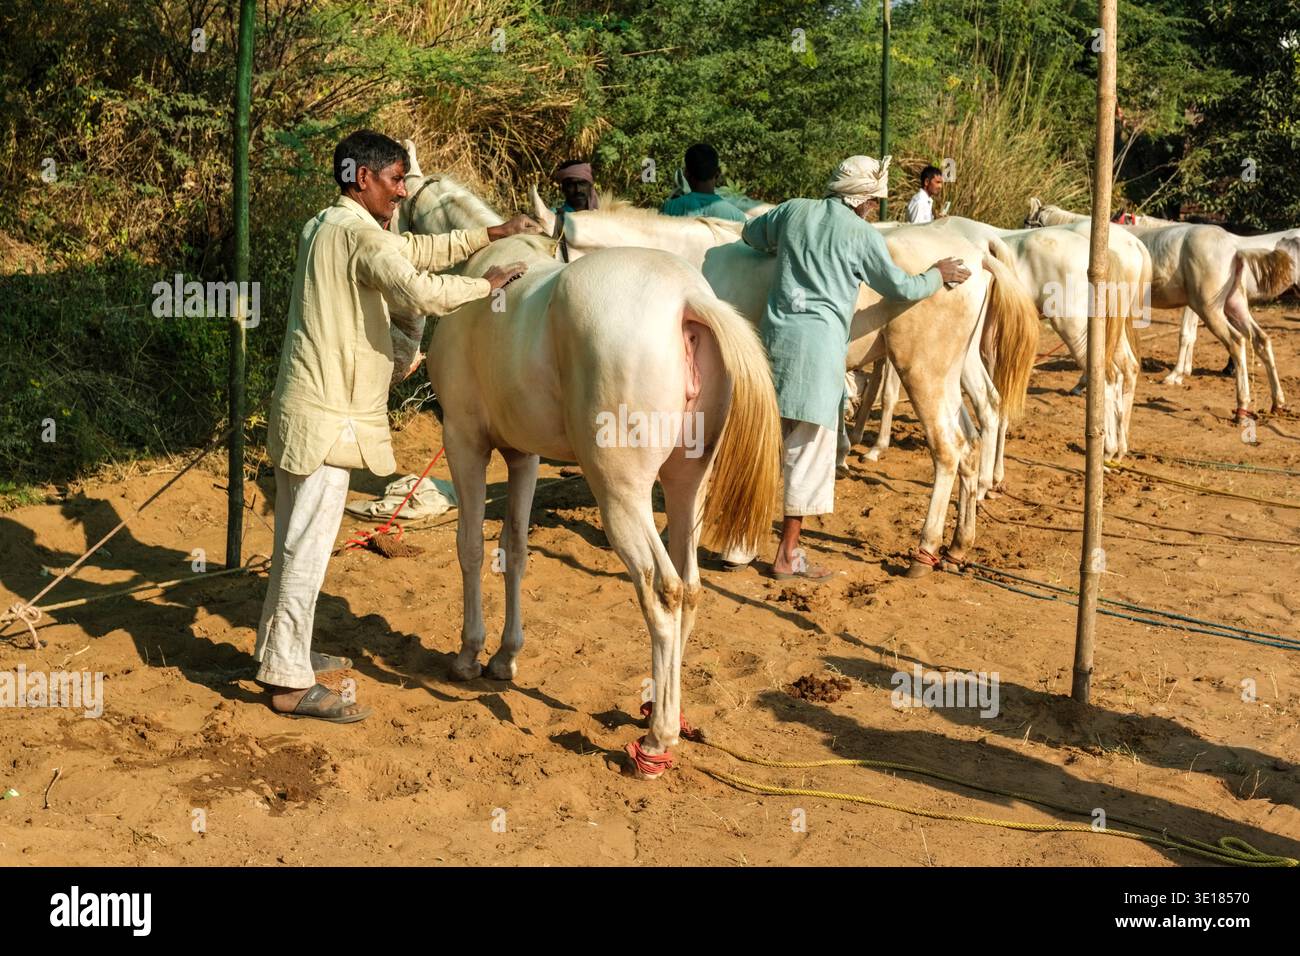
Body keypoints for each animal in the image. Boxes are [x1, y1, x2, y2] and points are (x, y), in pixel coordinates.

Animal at [400, 145, 783, 779]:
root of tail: (689, 302)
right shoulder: (523, 455)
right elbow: (516, 549)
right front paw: (505, 657)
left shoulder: (465, 442)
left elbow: (472, 547)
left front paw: (470, 653)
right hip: (685, 487)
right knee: (691, 587)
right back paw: (667, 709)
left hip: (621, 496)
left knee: (663, 591)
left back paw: (657, 740)